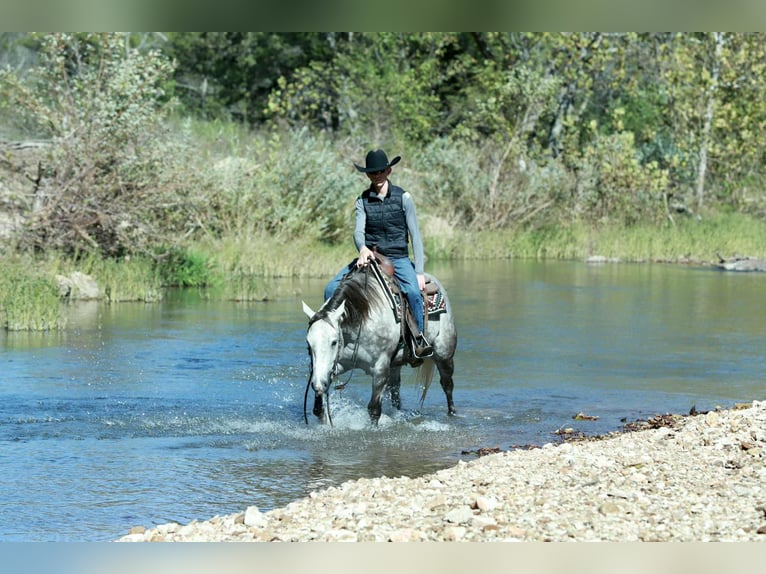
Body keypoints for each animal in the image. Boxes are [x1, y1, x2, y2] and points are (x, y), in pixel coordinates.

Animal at [301, 261, 457, 425]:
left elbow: (374, 410)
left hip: (444, 353)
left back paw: (452, 413)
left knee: (447, 385)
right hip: (395, 364)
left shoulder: (380, 369)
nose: (318, 384)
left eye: (334, 342)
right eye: (308, 344)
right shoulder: (335, 366)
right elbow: (318, 410)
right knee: (395, 391)